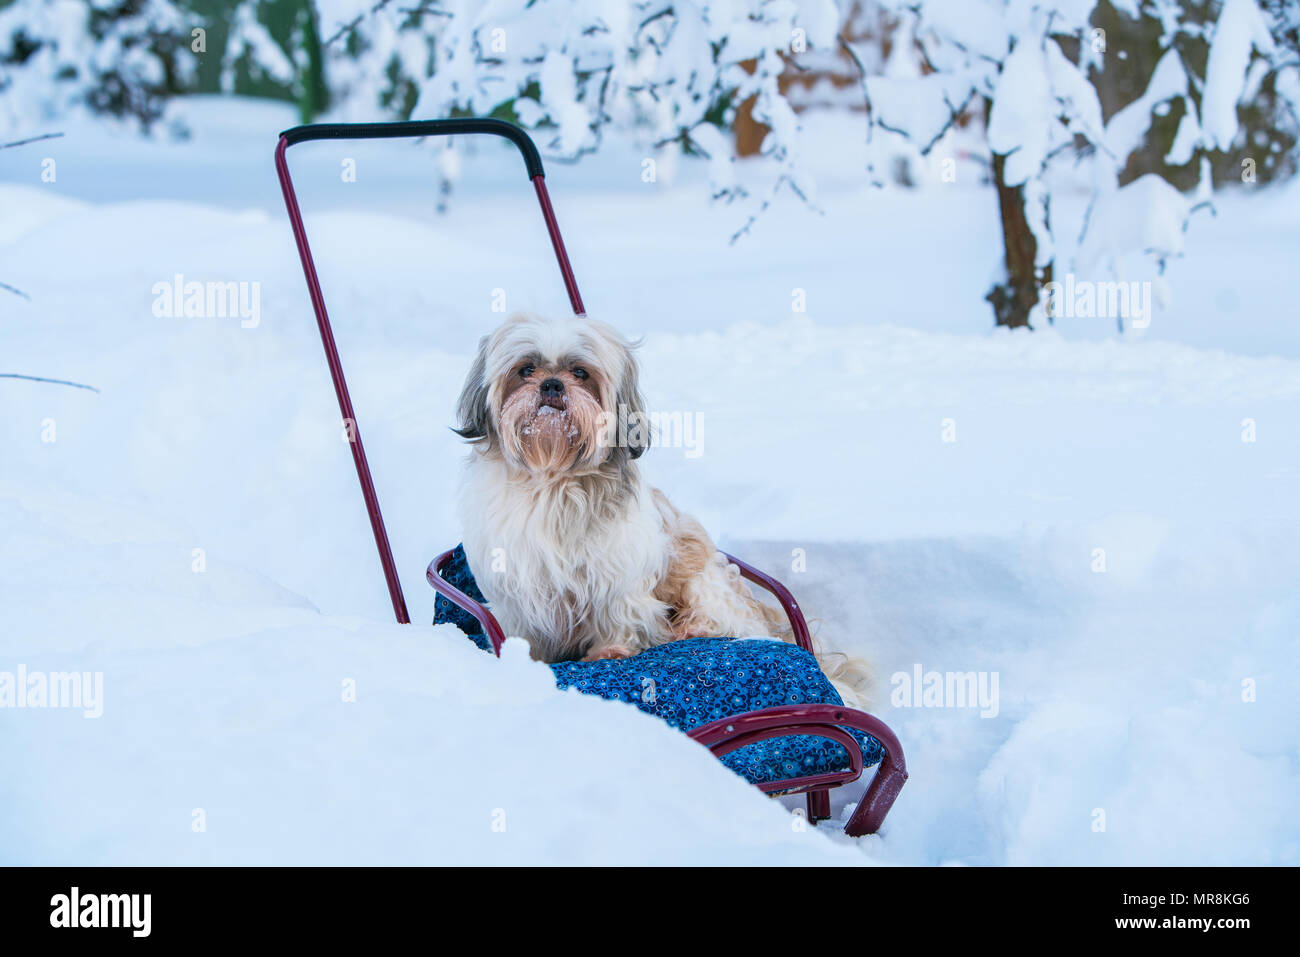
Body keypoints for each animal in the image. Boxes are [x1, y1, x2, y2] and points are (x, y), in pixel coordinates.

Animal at [452, 312, 868, 702]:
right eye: (526, 370)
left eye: (580, 373)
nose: (551, 384)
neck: (553, 478)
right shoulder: (517, 585)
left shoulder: (619, 576)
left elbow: (616, 612)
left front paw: (610, 651)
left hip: (704, 580)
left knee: (734, 623)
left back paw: (691, 628)